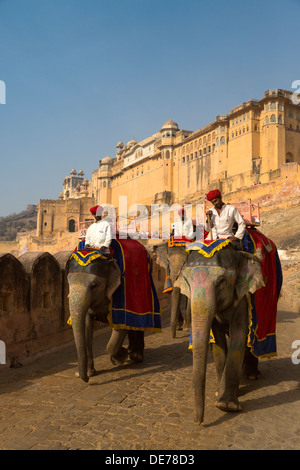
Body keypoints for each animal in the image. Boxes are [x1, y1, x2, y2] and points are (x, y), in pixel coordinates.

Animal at [173, 244, 264, 424]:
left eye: (221, 281)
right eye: (187, 282)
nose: (199, 421)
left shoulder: (243, 297)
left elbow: (239, 334)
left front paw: (227, 405)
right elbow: (217, 340)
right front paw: (218, 392)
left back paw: (252, 376)